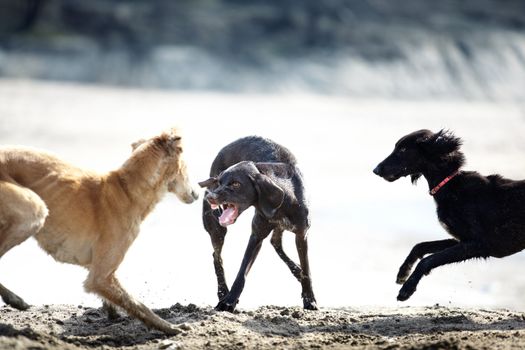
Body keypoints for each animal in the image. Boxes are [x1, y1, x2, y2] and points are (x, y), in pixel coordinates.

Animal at [0, 128, 199, 334]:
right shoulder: (100, 277)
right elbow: (138, 305)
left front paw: (113, 314)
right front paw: (172, 328)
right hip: (33, 211)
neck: (127, 191)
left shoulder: (99, 269)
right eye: (186, 165)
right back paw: (14, 299)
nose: (198, 193)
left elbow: (115, 300)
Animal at [199, 136, 318, 312]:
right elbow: (242, 272)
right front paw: (229, 301)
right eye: (219, 183)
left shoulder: (302, 235)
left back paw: (296, 270)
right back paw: (222, 292)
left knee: (276, 242)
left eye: (236, 184)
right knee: (217, 257)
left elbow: (307, 270)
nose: (210, 197)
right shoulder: (256, 236)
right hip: (216, 227)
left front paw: (310, 299)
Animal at [372, 130, 525, 302]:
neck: (451, 186)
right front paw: (403, 272)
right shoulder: (461, 239)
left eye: (403, 150)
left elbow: (428, 260)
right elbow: (420, 246)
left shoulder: (479, 243)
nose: (376, 170)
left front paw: (407, 289)